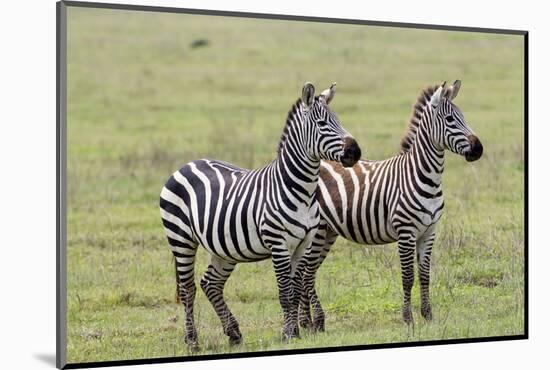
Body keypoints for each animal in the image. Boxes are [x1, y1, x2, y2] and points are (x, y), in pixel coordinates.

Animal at [160, 82, 362, 348]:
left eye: (338, 120)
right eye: (322, 124)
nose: (355, 152)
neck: (302, 190)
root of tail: (186, 165)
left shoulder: (303, 244)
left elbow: (295, 290)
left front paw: (295, 331)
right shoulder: (279, 244)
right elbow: (285, 293)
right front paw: (289, 334)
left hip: (223, 248)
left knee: (210, 283)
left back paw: (234, 333)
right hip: (180, 239)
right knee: (187, 289)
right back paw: (192, 342)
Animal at [300, 80, 486, 330]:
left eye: (463, 117)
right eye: (450, 119)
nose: (478, 149)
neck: (424, 175)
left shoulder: (429, 232)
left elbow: (425, 275)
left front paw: (428, 316)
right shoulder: (406, 232)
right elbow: (408, 277)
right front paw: (408, 319)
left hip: (328, 232)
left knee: (305, 273)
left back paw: (306, 323)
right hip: (317, 232)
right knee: (305, 274)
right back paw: (311, 322)